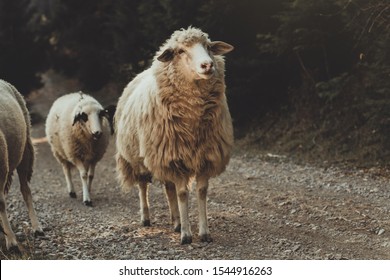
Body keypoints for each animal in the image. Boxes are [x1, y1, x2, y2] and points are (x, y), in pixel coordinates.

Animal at [114, 27, 233, 244]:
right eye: (180, 51)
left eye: (208, 46)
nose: (208, 65)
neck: (193, 120)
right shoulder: (176, 158)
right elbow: (183, 193)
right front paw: (186, 235)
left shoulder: (204, 156)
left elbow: (200, 192)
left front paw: (204, 232)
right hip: (139, 157)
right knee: (143, 185)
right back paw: (146, 218)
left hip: (163, 156)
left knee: (169, 189)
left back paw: (176, 222)